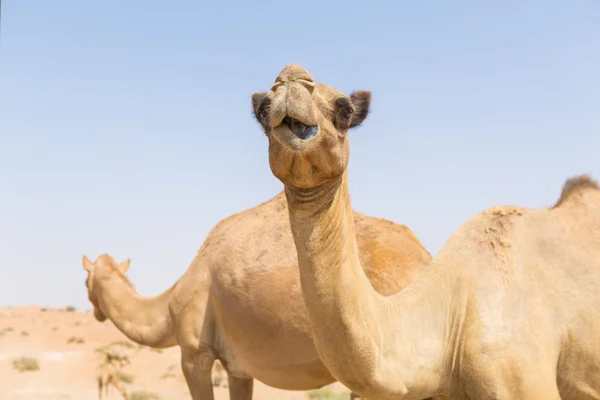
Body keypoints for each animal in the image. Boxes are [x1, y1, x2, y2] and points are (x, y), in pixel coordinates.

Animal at [82, 189, 434, 398]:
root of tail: (425, 258)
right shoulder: (238, 367)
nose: (96, 312)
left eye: (86, 281)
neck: (167, 308)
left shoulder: (195, 352)